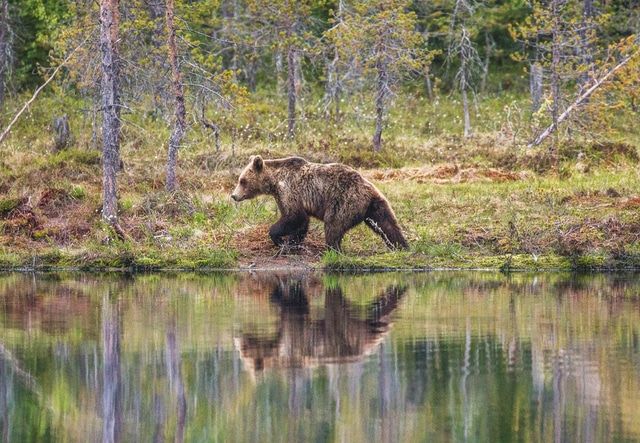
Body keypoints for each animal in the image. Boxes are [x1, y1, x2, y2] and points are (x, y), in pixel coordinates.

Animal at [231, 155, 408, 252]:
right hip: (377, 204)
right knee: (388, 225)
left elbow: (293, 216)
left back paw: (332, 249)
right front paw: (293, 242)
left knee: (333, 225)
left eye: (242, 180)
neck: (274, 182)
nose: (233, 195)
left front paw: (279, 239)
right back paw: (402, 246)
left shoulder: (289, 191)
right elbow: (302, 222)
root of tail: (368, 188)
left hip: (344, 200)